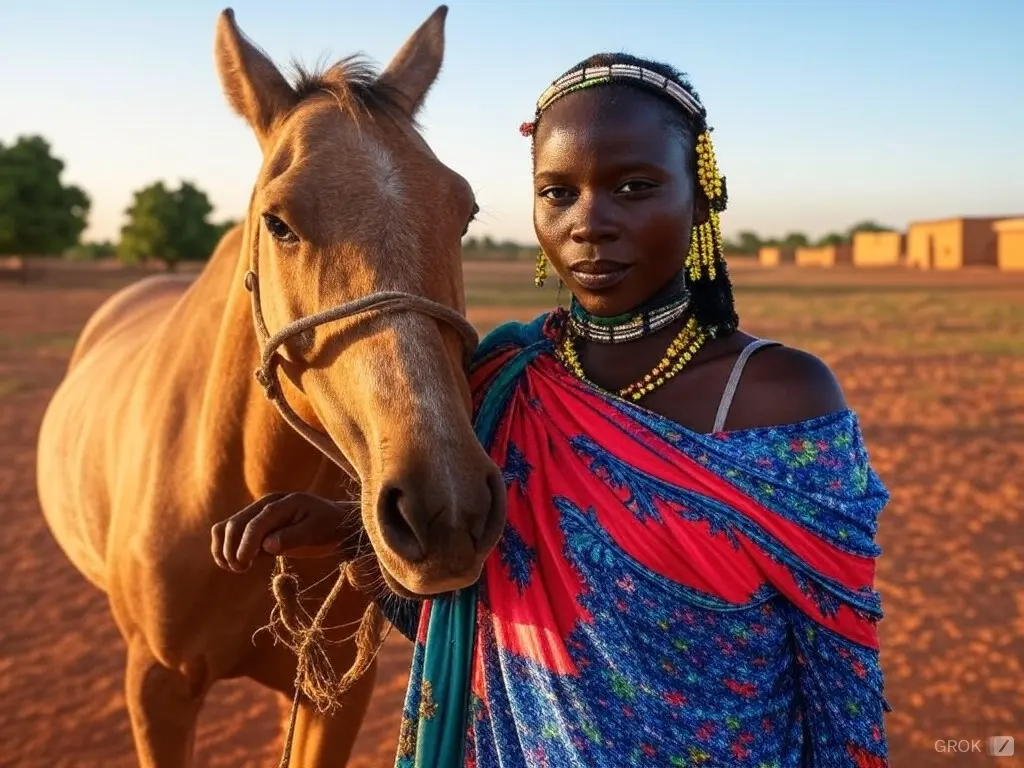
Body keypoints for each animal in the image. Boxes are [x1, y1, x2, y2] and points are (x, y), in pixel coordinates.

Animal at [34, 7, 505, 768]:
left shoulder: (334, 692)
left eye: (463, 211)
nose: (447, 509)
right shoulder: (157, 689)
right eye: (277, 222)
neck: (230, 481)